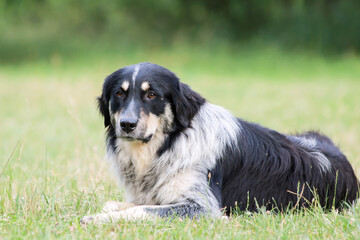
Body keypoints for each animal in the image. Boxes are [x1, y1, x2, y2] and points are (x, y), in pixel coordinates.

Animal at [80, 62, 358, 224]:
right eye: (119, 93)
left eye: (151, 95)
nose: (126, 124)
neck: (170, 145)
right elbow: (120, 203)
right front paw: (107, 211)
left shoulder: (203, 208)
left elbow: (141, 210)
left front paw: (96, 219)